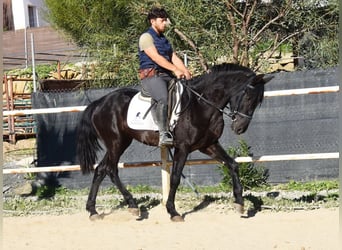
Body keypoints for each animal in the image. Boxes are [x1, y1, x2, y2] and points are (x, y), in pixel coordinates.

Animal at [77, 63, 272, 222]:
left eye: (258, 102)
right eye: (248, 97)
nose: (240, 128)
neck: (201, 104)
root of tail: (99, 102)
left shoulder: (208, 145)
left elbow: (232, 164)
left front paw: (239, 203)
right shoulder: (183, 148)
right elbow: (176, 178)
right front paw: (173, 211)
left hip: (118, 143)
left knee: (101, 169)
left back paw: (93, 211)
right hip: (117, 143)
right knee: (111, 170)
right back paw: (133, 206)